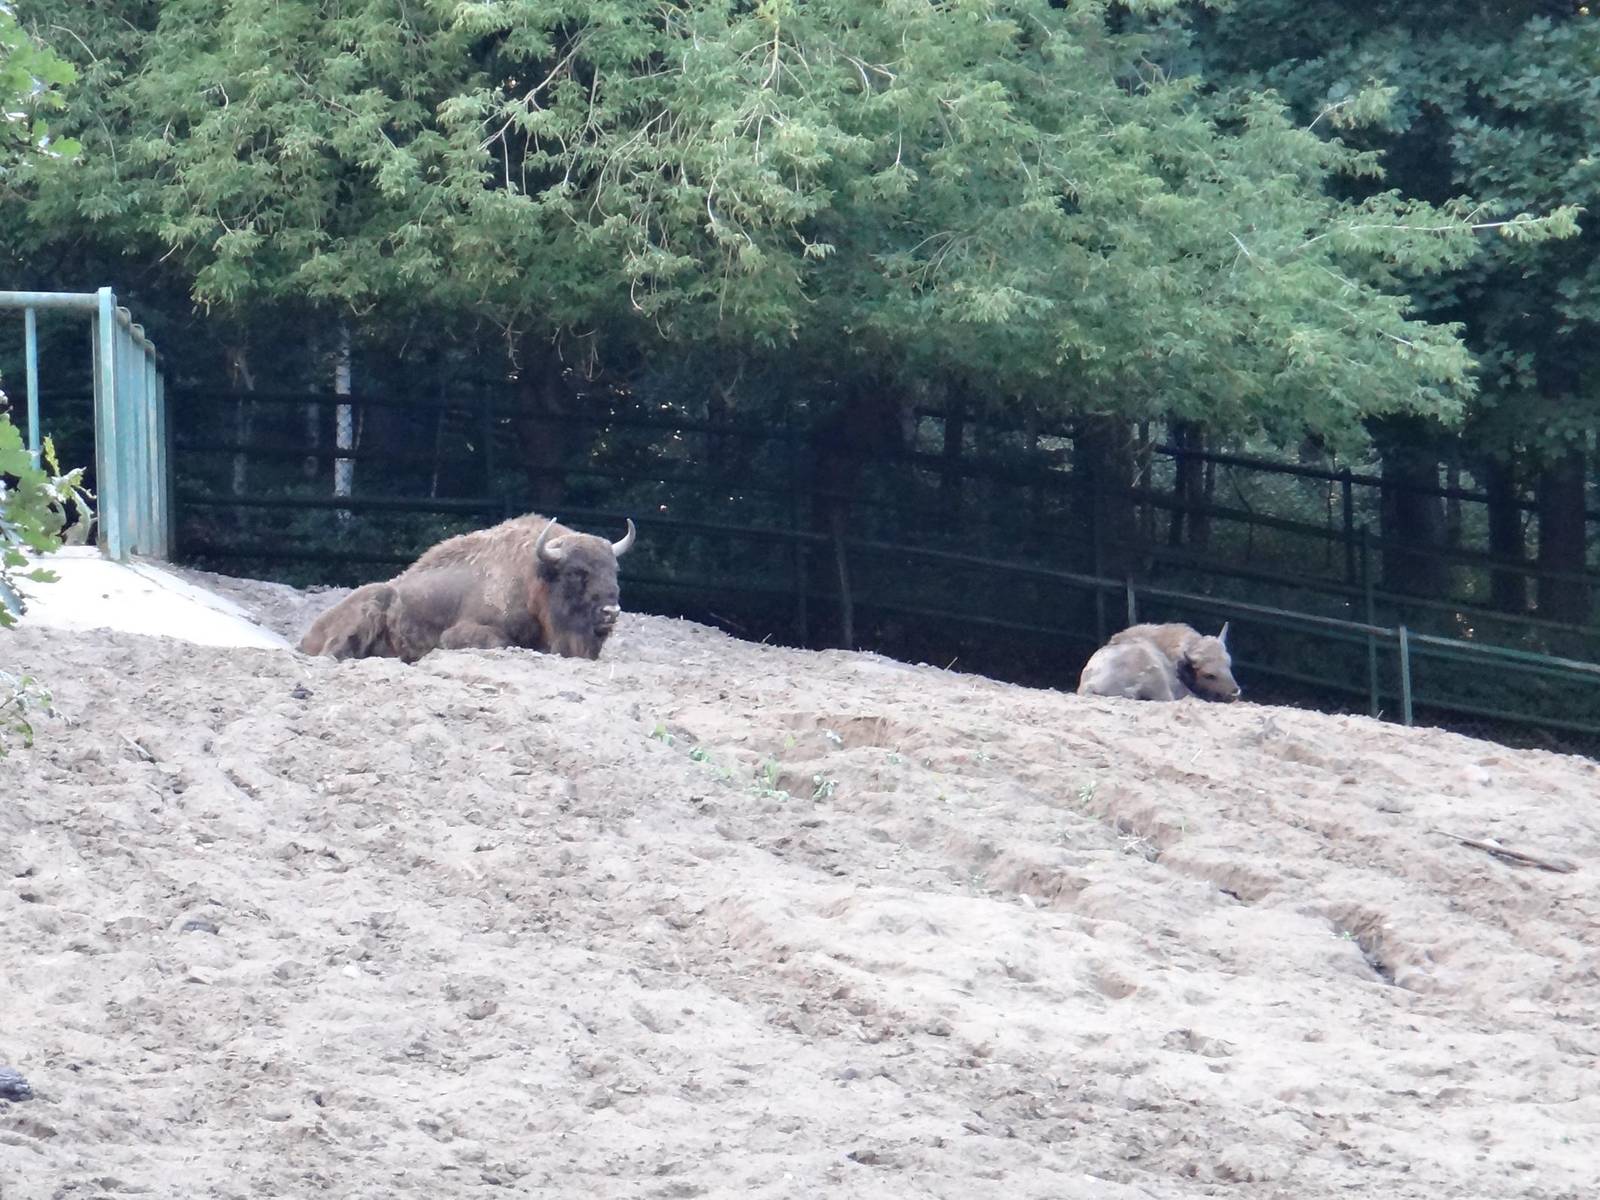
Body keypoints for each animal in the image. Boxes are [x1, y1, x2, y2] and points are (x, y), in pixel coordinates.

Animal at [298, 513, 636, 663]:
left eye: (614, 570)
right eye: (576, 572)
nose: (611, 611)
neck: (532, 578)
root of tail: (310, 631)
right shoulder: (459, 633)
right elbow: (499, 642)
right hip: (371, 603)